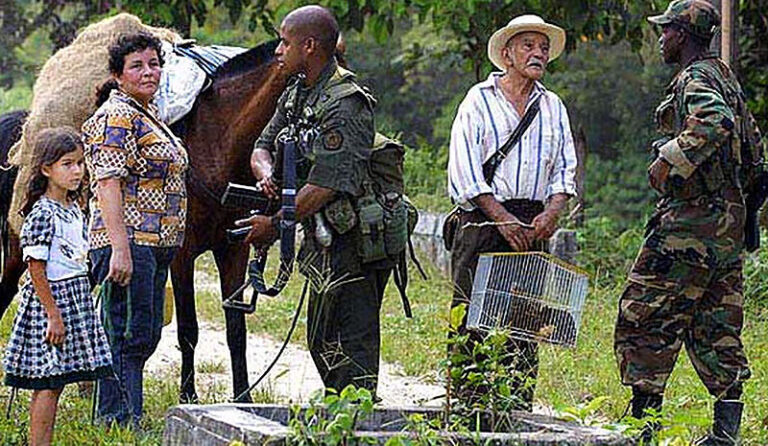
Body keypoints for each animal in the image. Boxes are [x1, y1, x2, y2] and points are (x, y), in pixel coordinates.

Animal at [0, 42, 288, 404]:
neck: (216, 145)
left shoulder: (233, 251)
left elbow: (236, 329)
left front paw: (243, 400)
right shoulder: (181, 254)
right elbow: (188, 330)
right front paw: (188, 396)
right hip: (18, 254)